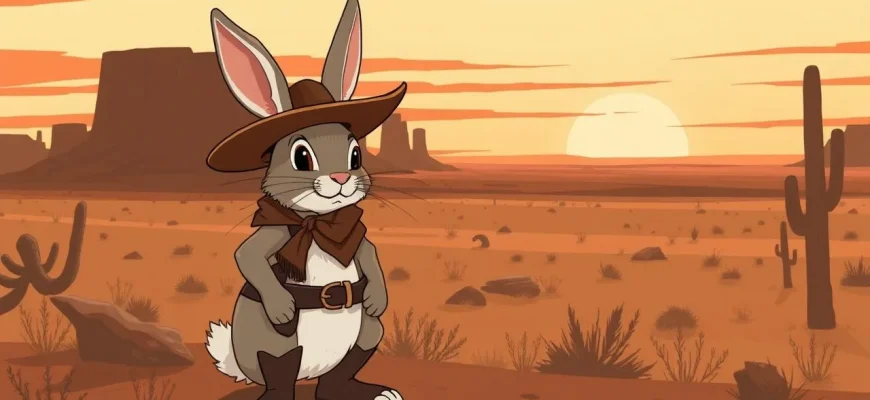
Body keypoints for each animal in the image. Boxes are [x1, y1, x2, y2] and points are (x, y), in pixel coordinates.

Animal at [204, 2, 406, 400]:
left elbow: (370, 251)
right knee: (280, 369)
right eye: (301, 156)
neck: (315, 224)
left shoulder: (353, 231)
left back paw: (370, 391)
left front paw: (378, 298)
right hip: (273, 342)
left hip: (367, 332)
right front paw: (282, 306)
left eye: (356, 155)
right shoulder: (278, 229)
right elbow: (247, 256)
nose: (342, 178)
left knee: (338, 375)